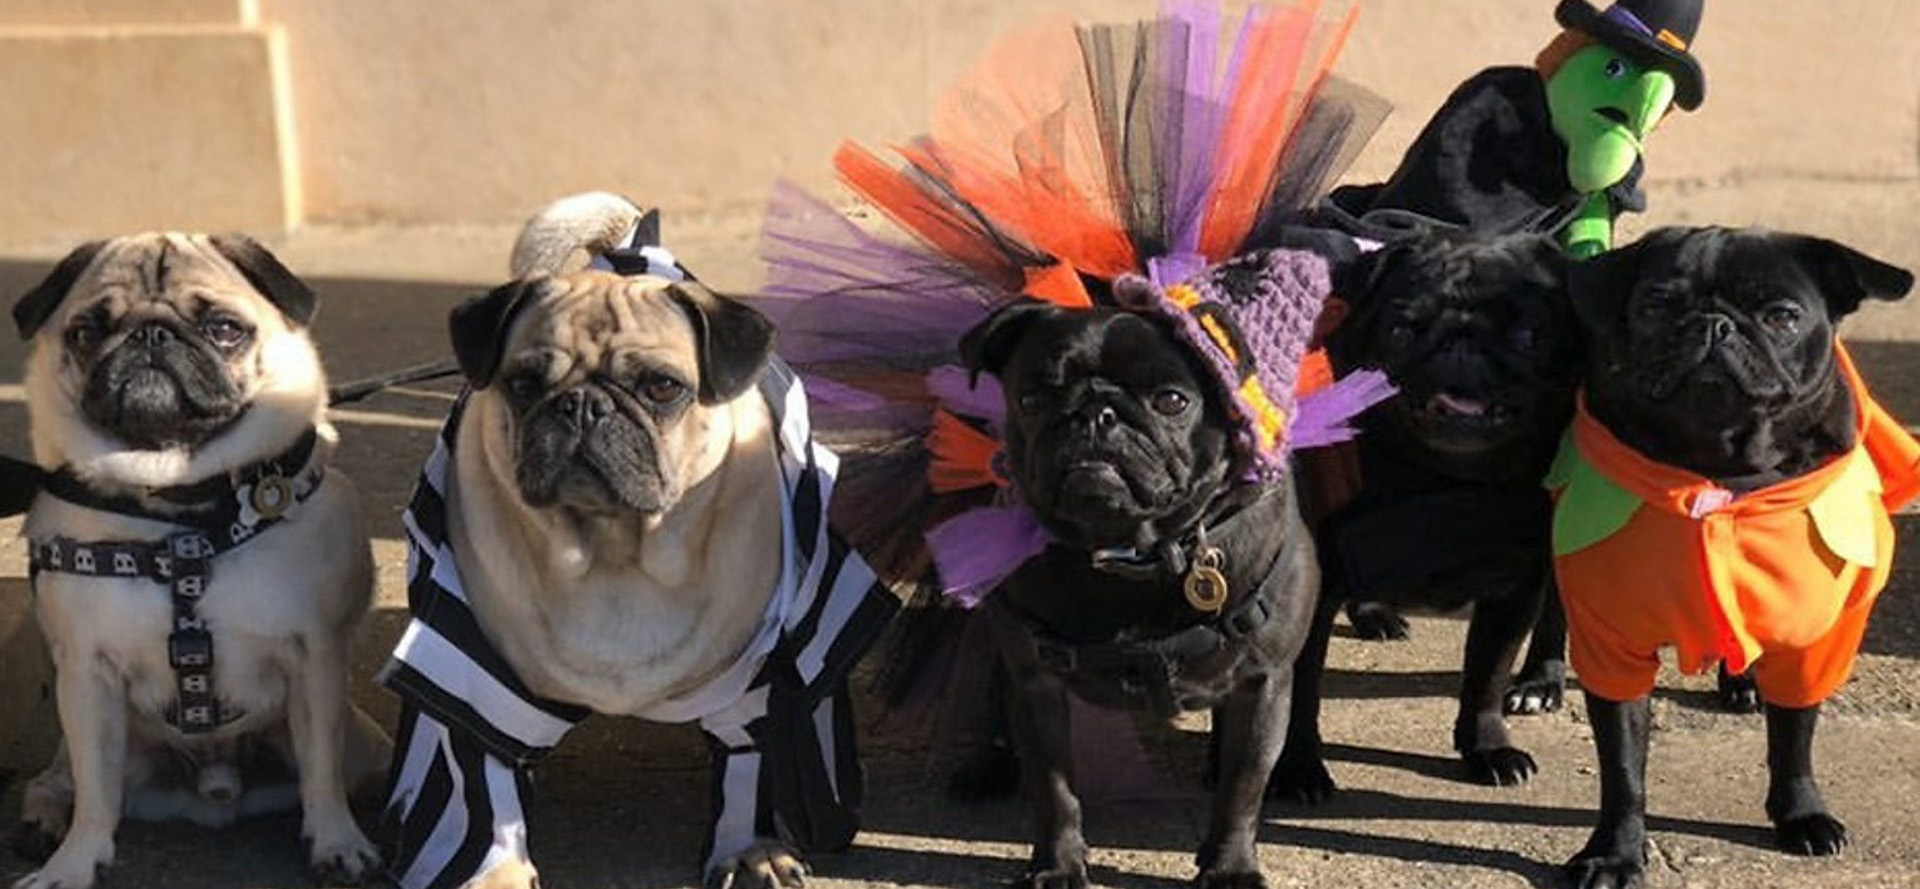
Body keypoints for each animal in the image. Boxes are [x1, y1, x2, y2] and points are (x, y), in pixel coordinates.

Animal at [9, 235, 384, 889]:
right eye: (87, 332)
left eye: (224, 329)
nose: (151, 334)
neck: (180, 509)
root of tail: (216, 786)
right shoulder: (85, 674)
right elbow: (95, 793)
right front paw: (73, 865)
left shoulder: (315, 661)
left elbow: (322, 773)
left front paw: (339, 844)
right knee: (63, 777)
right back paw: (43, 818)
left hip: (364, 744)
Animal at [960, 288, 1320, 887]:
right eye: (1032, 398)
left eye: (1172, 400)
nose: (1095, 413)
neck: (1131, 553)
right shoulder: (1036, 684)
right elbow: (1053, 788)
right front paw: (1058, 865)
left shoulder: (1263, 684)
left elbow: (1244, 788)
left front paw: (1230, 868)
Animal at [1274, 227, 1574, 798]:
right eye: (1401, 328)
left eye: (1528, 333)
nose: (1460, 341)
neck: (1441, 479)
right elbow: (1298, 691)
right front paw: (1295, 768)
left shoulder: (1514, 589)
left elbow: (1486, 676)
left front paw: (1487, 748)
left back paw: (1540, 681)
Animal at [1551, 226, 1912, 887]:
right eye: (1655, 305)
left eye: (1782, 316)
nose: (1714, 324)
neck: (1721, 466)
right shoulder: (1612, 644)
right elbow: (1623, 766)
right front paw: (1615, 851)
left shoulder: (1812, 642)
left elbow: (1794, 737)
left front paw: (1801, 814)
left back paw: (1743, 683)